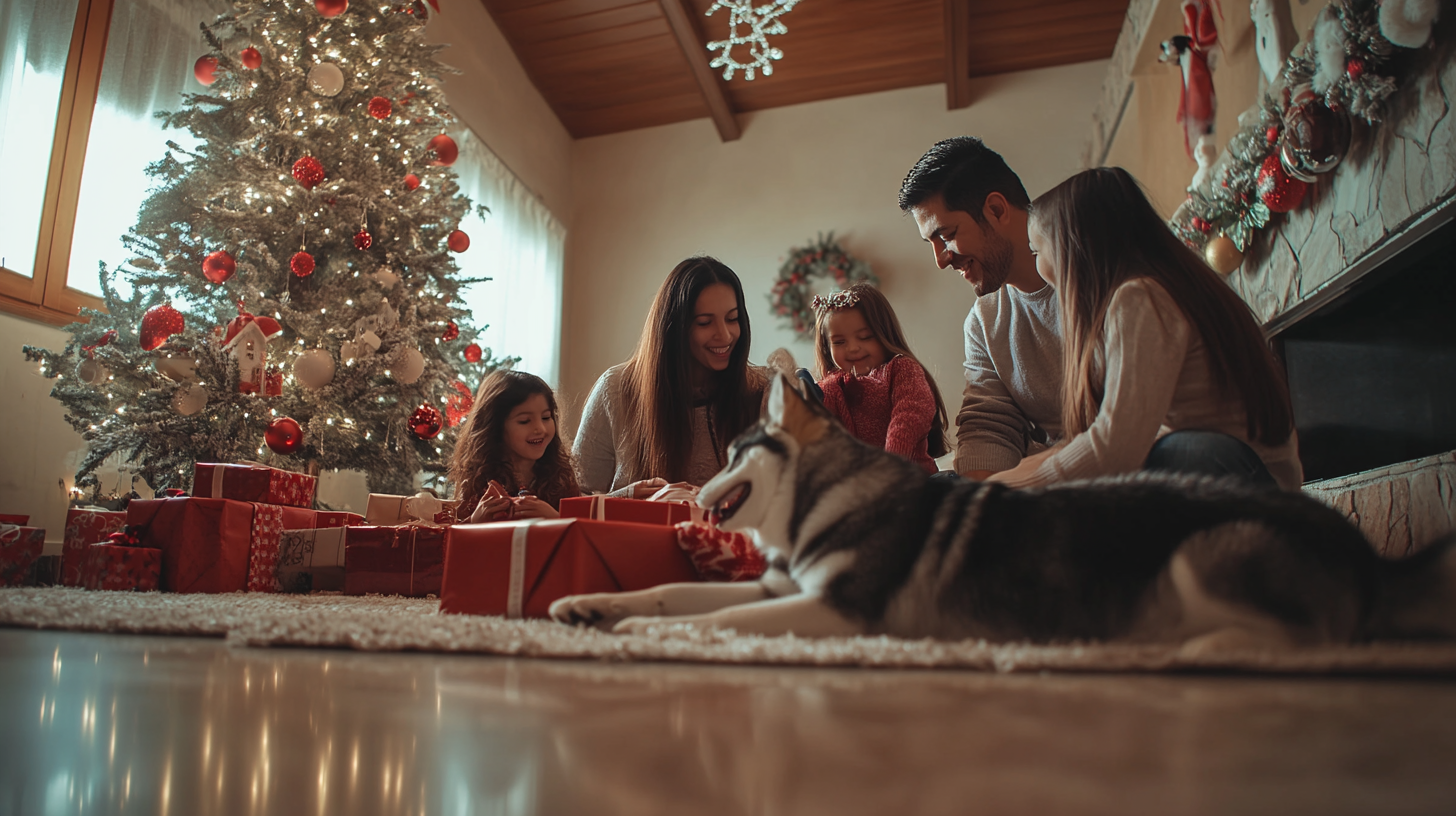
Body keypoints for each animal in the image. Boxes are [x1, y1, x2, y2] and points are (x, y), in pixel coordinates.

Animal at [547, 375, 1456, 649]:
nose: (675, 486)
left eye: (736, 452)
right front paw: (588, 604)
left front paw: (644, 632)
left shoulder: (837, 611)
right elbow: (672, 591)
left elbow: (712, 619)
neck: (820, 504)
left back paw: (1186, 647)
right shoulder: (782, 589)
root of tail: (1373, 557)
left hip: (1207, 552)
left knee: (1310, 639)